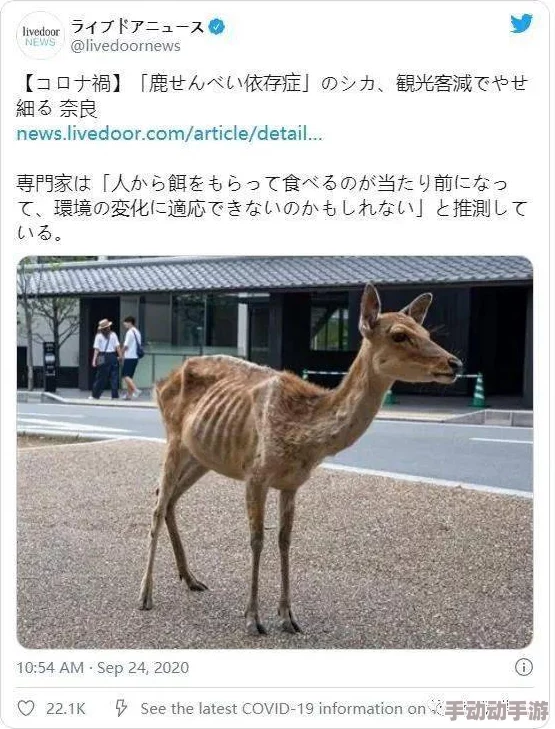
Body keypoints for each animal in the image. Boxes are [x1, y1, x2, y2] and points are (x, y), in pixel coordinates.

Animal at [139, 284, 463, 635]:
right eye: (400, 335)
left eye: (427, 331)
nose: (455, 363)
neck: (305, 438)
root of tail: (160, 382)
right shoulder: (256, 474)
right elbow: (257, 539)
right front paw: (253, 619)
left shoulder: (292, 483)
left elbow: (284, 540)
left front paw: (288, 617)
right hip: (173, 438)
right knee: (158, 504)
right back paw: (145, 595)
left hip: (203, 456)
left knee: (170, 498)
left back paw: (191, 578)